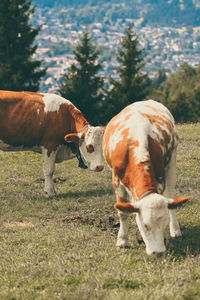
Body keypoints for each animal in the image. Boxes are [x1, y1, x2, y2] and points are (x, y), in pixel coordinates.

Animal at [103, 99, 189, 254]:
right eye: (145, 226)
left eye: (163, 225)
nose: (158, 252)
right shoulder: (117, 181)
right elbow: (122, 212)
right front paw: (122, 240)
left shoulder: (160, 178)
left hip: (172, 159)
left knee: (171, 196)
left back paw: (175, 229)